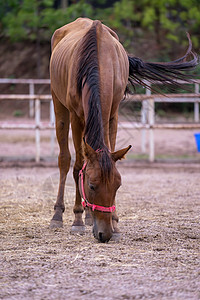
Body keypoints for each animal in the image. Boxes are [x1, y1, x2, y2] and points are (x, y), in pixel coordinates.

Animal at [50, 16, 198, 243]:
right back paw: (59, 215)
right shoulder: (76, 117)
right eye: (92, 186)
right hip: (59, 106)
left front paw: (115, 223)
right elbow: (78, 167)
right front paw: (77, 220)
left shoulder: (112, 114)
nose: (105, 234)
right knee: (65, 160)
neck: (98, 64)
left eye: (117, 185)